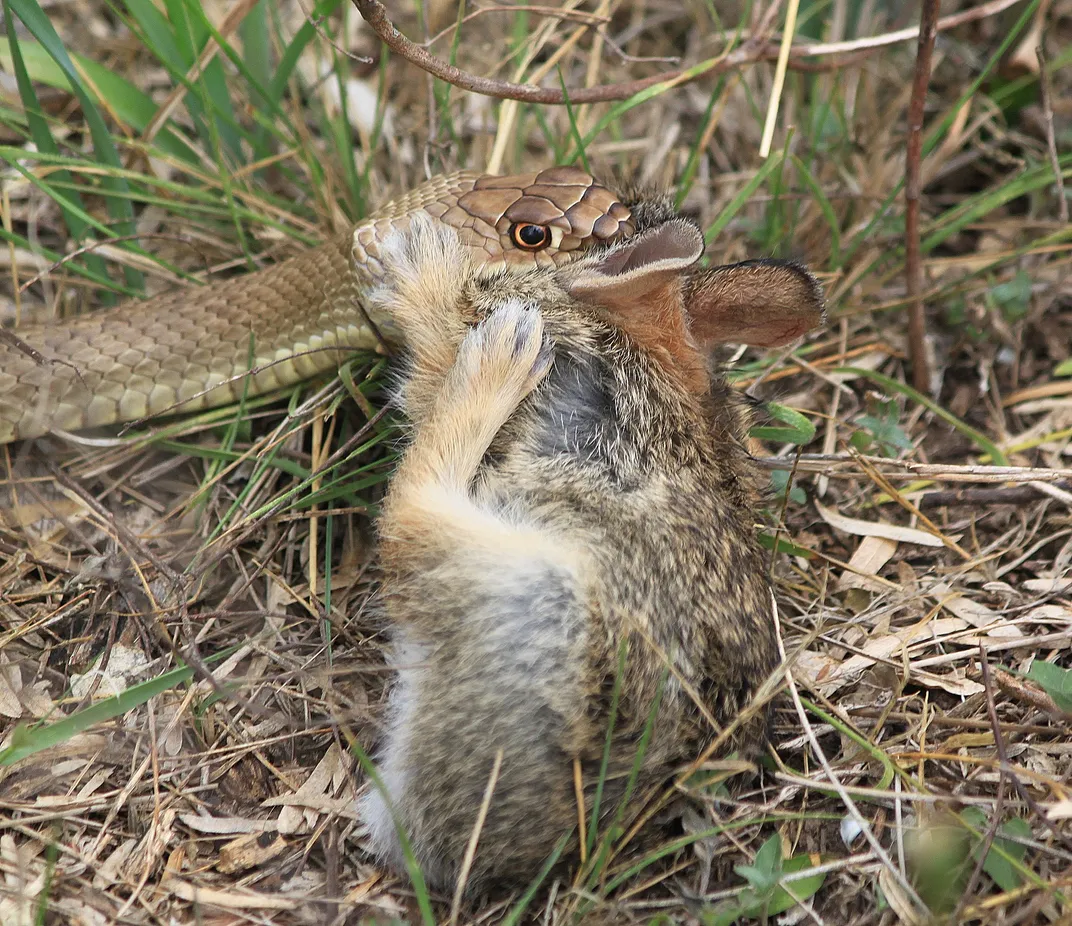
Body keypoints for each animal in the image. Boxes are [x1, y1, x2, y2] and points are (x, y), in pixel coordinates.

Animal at [356, 191, 825, 897]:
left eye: (532, 239)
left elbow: (434, 344)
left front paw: (414, 260)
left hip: (524, 579)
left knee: (408, 510)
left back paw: (495, 351)